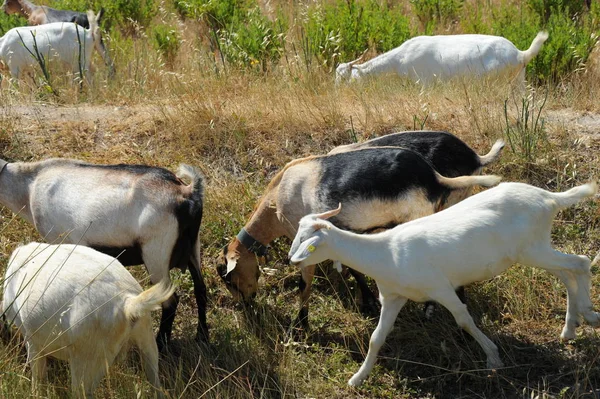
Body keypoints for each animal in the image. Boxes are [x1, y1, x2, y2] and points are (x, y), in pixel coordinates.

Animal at [0, 156, 206, 350]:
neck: (30, 186)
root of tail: (187, 192)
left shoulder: (62, 240)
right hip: (193, 248)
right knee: (200, 289)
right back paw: (201, 338)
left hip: (155, 253)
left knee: (170, 301)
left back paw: (162, 345)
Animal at [2, 242, 175, 398]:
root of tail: (129, 302)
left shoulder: (32, 338)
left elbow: (37, 373)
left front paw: (35, 393)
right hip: (146, 338)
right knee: (155, 381)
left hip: (87, 356)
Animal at [218, 147, 500, 332]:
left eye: (229, 278)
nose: (245, 305)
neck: (276, 199)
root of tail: (435, 178)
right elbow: (354, 269)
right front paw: (369, 301)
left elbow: (304, 284)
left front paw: (301, 324)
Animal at [288, 182, 596, 388]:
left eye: (306, 240)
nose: (291, 259)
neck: (386, 252)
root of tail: (550, 197)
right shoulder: (393, 297)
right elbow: (377, 337)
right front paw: (357, 378)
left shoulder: (441, 288)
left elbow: (464, 320)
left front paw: (493, 359)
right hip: (536, 248)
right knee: (567, 273)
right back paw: (571, 326)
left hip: (532, 249)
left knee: (580, 262)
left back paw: (590, 315)